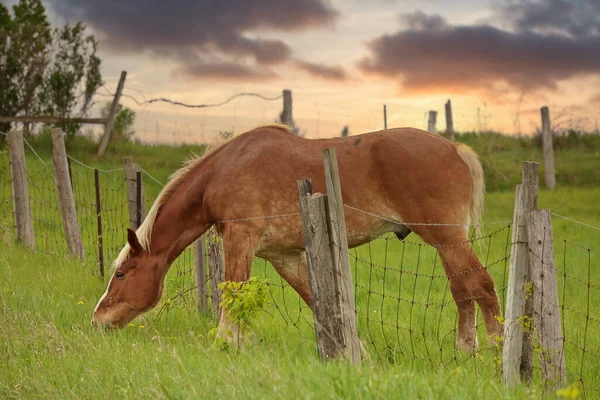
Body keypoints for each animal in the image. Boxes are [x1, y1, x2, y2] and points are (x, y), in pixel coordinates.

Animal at [90, 124, 502, 350]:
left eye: (121, 274)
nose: (97, 320)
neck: (222, 170)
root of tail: (454, 148)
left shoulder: (240, 239)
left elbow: (232, 295)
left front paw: (225, 344)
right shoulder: (285, 257)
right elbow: (320, 304)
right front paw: (355, 352)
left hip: (447, 239)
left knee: (481, 285)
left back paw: (498, 353)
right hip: (446, 243)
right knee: (462, 291)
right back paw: (466, 350)